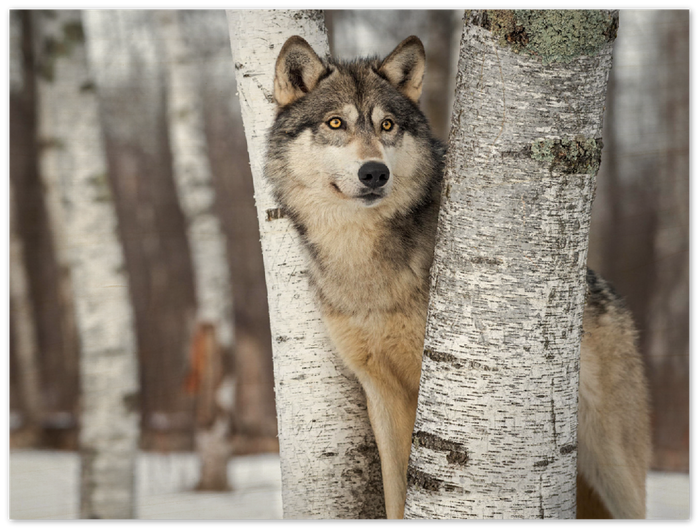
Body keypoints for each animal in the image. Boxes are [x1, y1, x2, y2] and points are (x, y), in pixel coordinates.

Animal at [265, 35, 650, 519]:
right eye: (336, 122)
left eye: (387, 125)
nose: (374, 172)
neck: (364, 264)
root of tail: (609, 294)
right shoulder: (381, 393)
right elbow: (395, 493)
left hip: (613, 470)